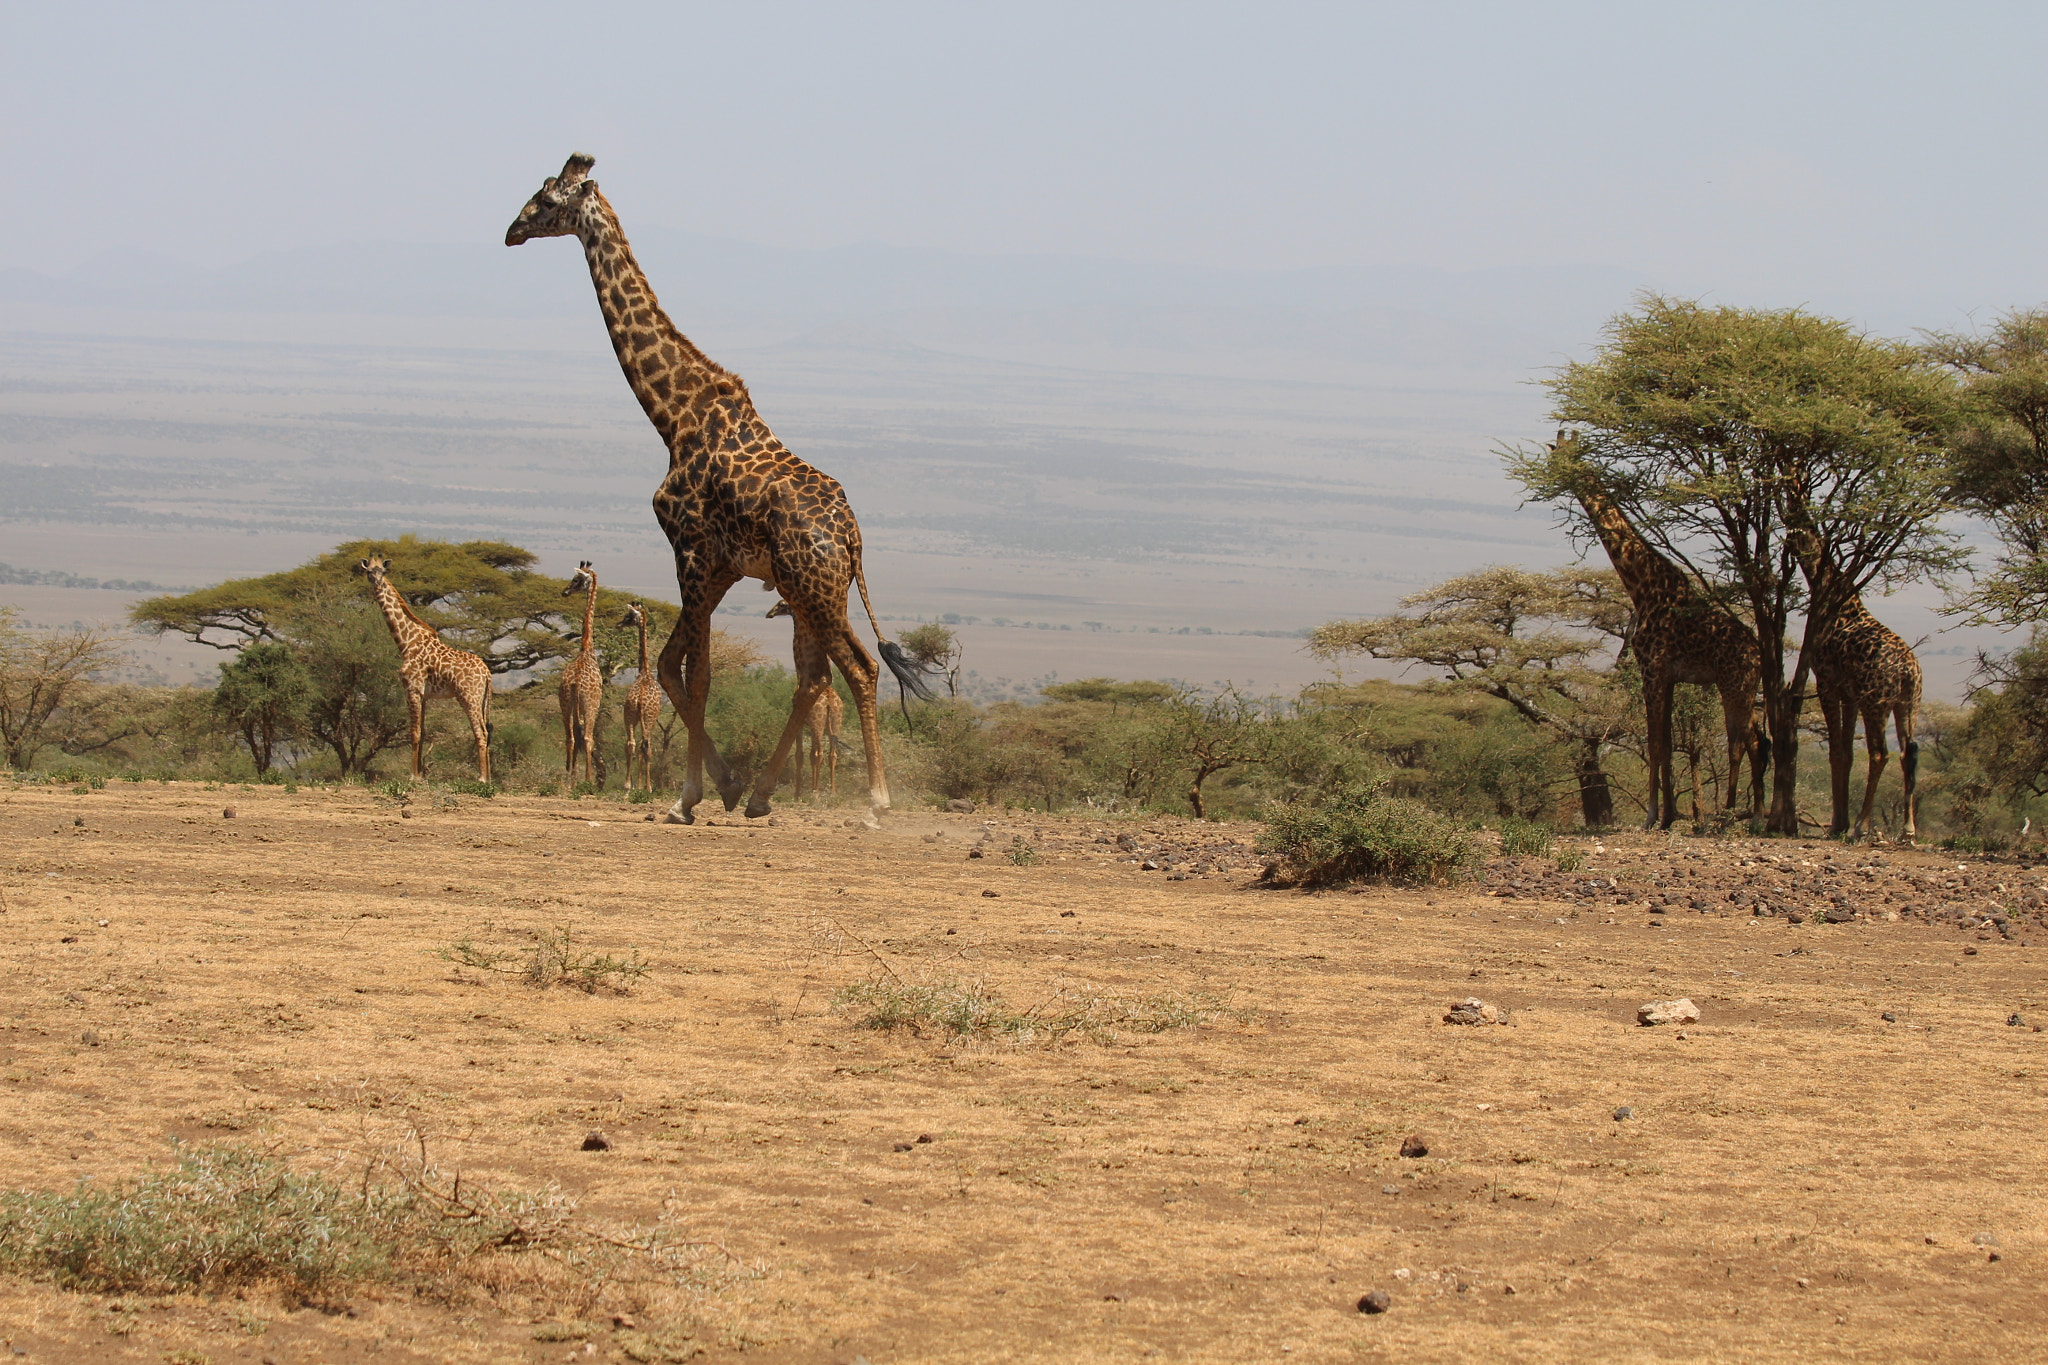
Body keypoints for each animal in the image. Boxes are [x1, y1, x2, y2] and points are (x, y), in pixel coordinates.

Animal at [356, 556, 491, 785]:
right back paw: (489, 777)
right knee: (487, 733)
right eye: (369, 572)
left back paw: (481, 779)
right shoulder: (425, 695)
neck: (406, 642)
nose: (377, 582)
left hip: (468, 696)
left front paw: (413, 776)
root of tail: (488, 674)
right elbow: (424, 731)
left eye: (383, 571)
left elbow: (415, 732)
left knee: (480, 732)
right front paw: (420, 775)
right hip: (480, 699)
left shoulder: (411, 688)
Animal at [614, 601, 663, 794]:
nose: (618, 625)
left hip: (628, 716)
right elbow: (646, 748)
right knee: (645, 746)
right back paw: (647, 787)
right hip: (647, 719)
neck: (645, 671)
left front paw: (637, 785)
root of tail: (640, 699)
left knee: (631, 744)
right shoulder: (651, 719)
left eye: (628, 617)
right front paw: (645, 786)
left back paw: (627, 786)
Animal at [1794, 532, 1916, 843]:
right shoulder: (1850, 695)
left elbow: (1836, 751)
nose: (1790, 539)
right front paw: (1839, 821)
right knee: (1907, 754)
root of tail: (1908, 671)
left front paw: (1840, 824)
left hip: (1877, 704)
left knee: (1879, 753)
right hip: (1908, 704)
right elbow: (1846, 753)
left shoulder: (1827, 682)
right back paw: (1909, 829)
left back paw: (1861, 826)